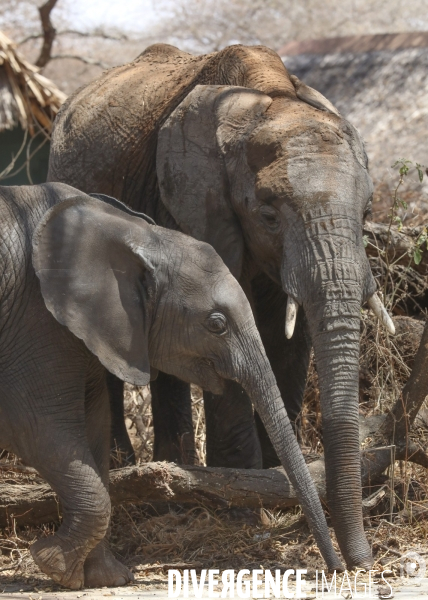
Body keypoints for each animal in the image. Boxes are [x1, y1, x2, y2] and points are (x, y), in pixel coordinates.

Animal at [0, 183, 342, 584]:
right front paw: (52, 565)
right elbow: (37, 430)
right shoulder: (35, 323)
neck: (136, 233)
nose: (338, 568)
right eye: (216, 325)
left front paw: (105, 578)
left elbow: (94, 431)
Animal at [48, 44, 392, 568]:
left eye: (368, 211)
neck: (265, 99)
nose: (357, 564)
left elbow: (290, 341)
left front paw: (274, 488)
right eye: (268, 215)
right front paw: (244, 508)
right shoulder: (190, 206)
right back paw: (131, 473)